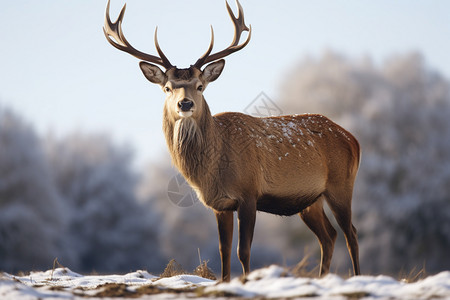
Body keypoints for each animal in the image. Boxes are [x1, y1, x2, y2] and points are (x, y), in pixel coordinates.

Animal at [103, 0, 360, 282]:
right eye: (167, 87)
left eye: (200, 85)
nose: (185, 104)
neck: (214, 169)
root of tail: (353, 140)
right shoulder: (220, 205)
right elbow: (223, 250)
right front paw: (225, 281)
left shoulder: (249, 193)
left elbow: (242, 250)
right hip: (310, 200)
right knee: (329, 236)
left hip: (341, 184)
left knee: (351, 233)